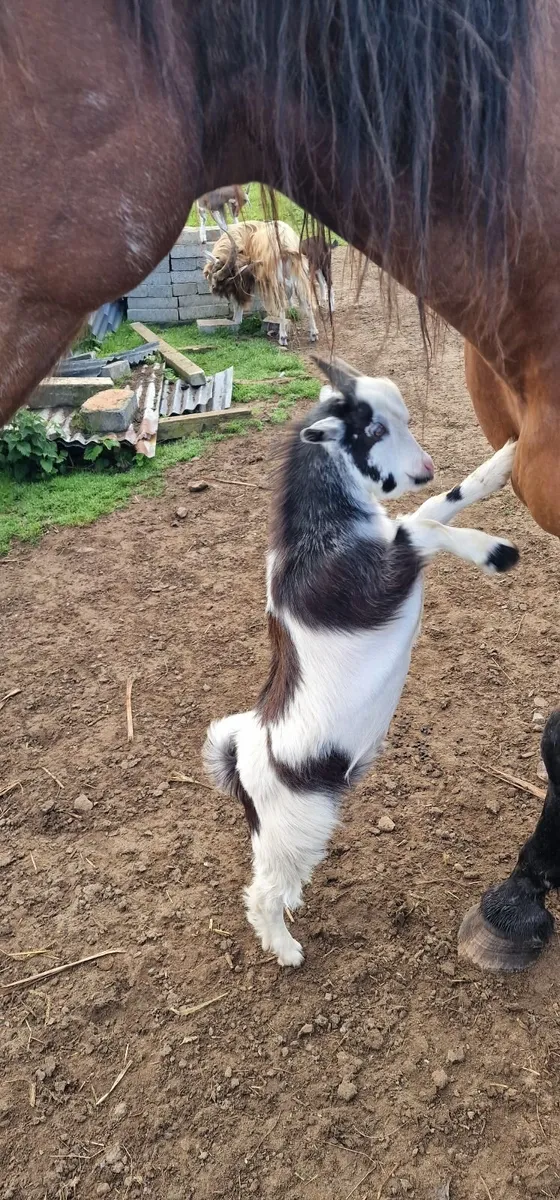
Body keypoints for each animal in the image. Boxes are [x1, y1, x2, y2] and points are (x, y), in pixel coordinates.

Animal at [204, 356, 519, 967]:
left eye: (406, 418)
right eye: (372, 429)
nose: (425, 467)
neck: (319, 538)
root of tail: (242, 759)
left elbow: (434, 506)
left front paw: (501, 465)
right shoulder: (382, 577)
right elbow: (423, 522)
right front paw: (497, 552)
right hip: (294, 827)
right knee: (262, 893)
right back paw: (286, 950)